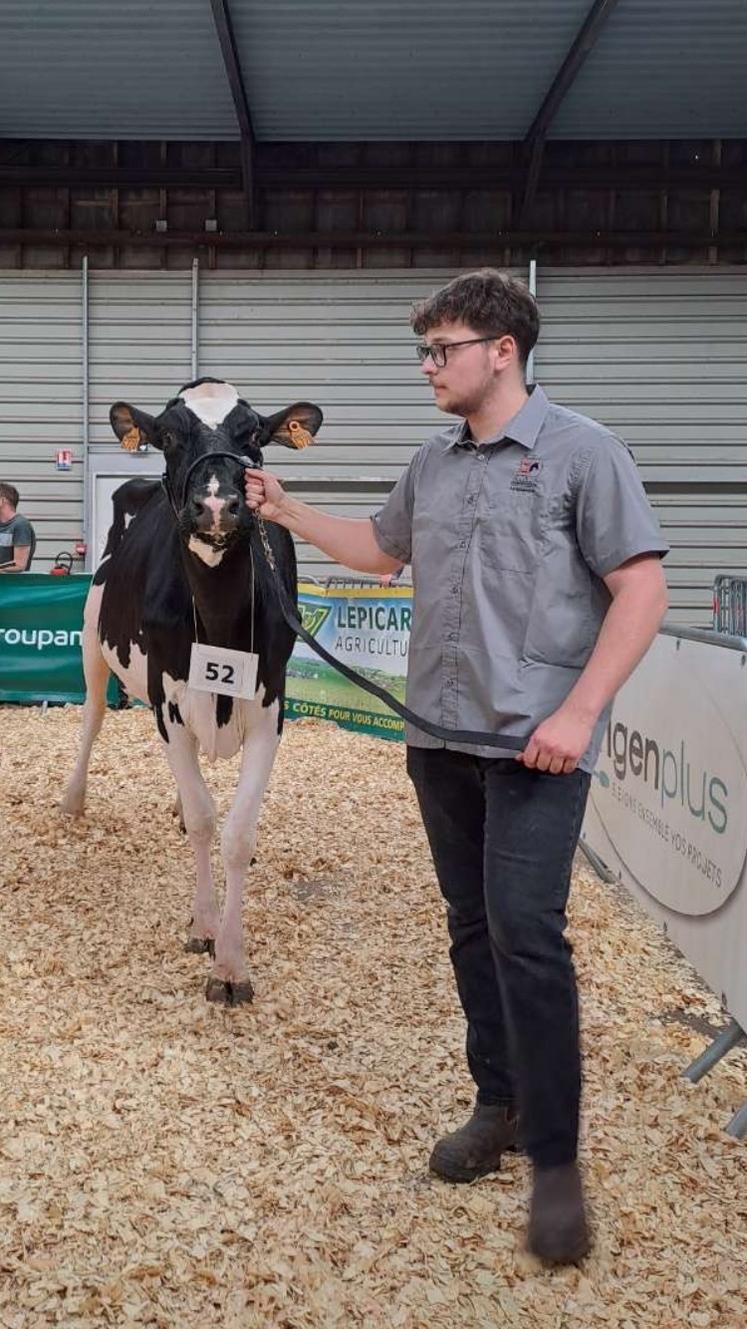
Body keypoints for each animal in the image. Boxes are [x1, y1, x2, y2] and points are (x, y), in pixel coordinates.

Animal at [60, 380, 320, 999]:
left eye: (253, 433)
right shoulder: (168, 702)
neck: (220, 615)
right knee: (92, 718)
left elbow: (237, 835)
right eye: (170, 437)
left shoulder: (270, 709)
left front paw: (231, 964)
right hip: (91, 639)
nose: (218, 505)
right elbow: (206, 820)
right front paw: (204, 929)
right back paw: (74, 799)